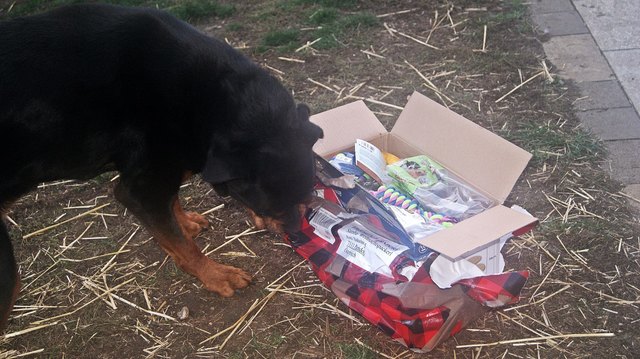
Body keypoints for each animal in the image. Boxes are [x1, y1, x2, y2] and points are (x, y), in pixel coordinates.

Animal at [0, 3, 320, 332]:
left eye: (308, 196)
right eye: (270, 207)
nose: (298, 237)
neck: (204, 96)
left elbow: (174, 205)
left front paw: (185, 222)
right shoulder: (140, 190)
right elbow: (184, 247)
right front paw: (215, 275)